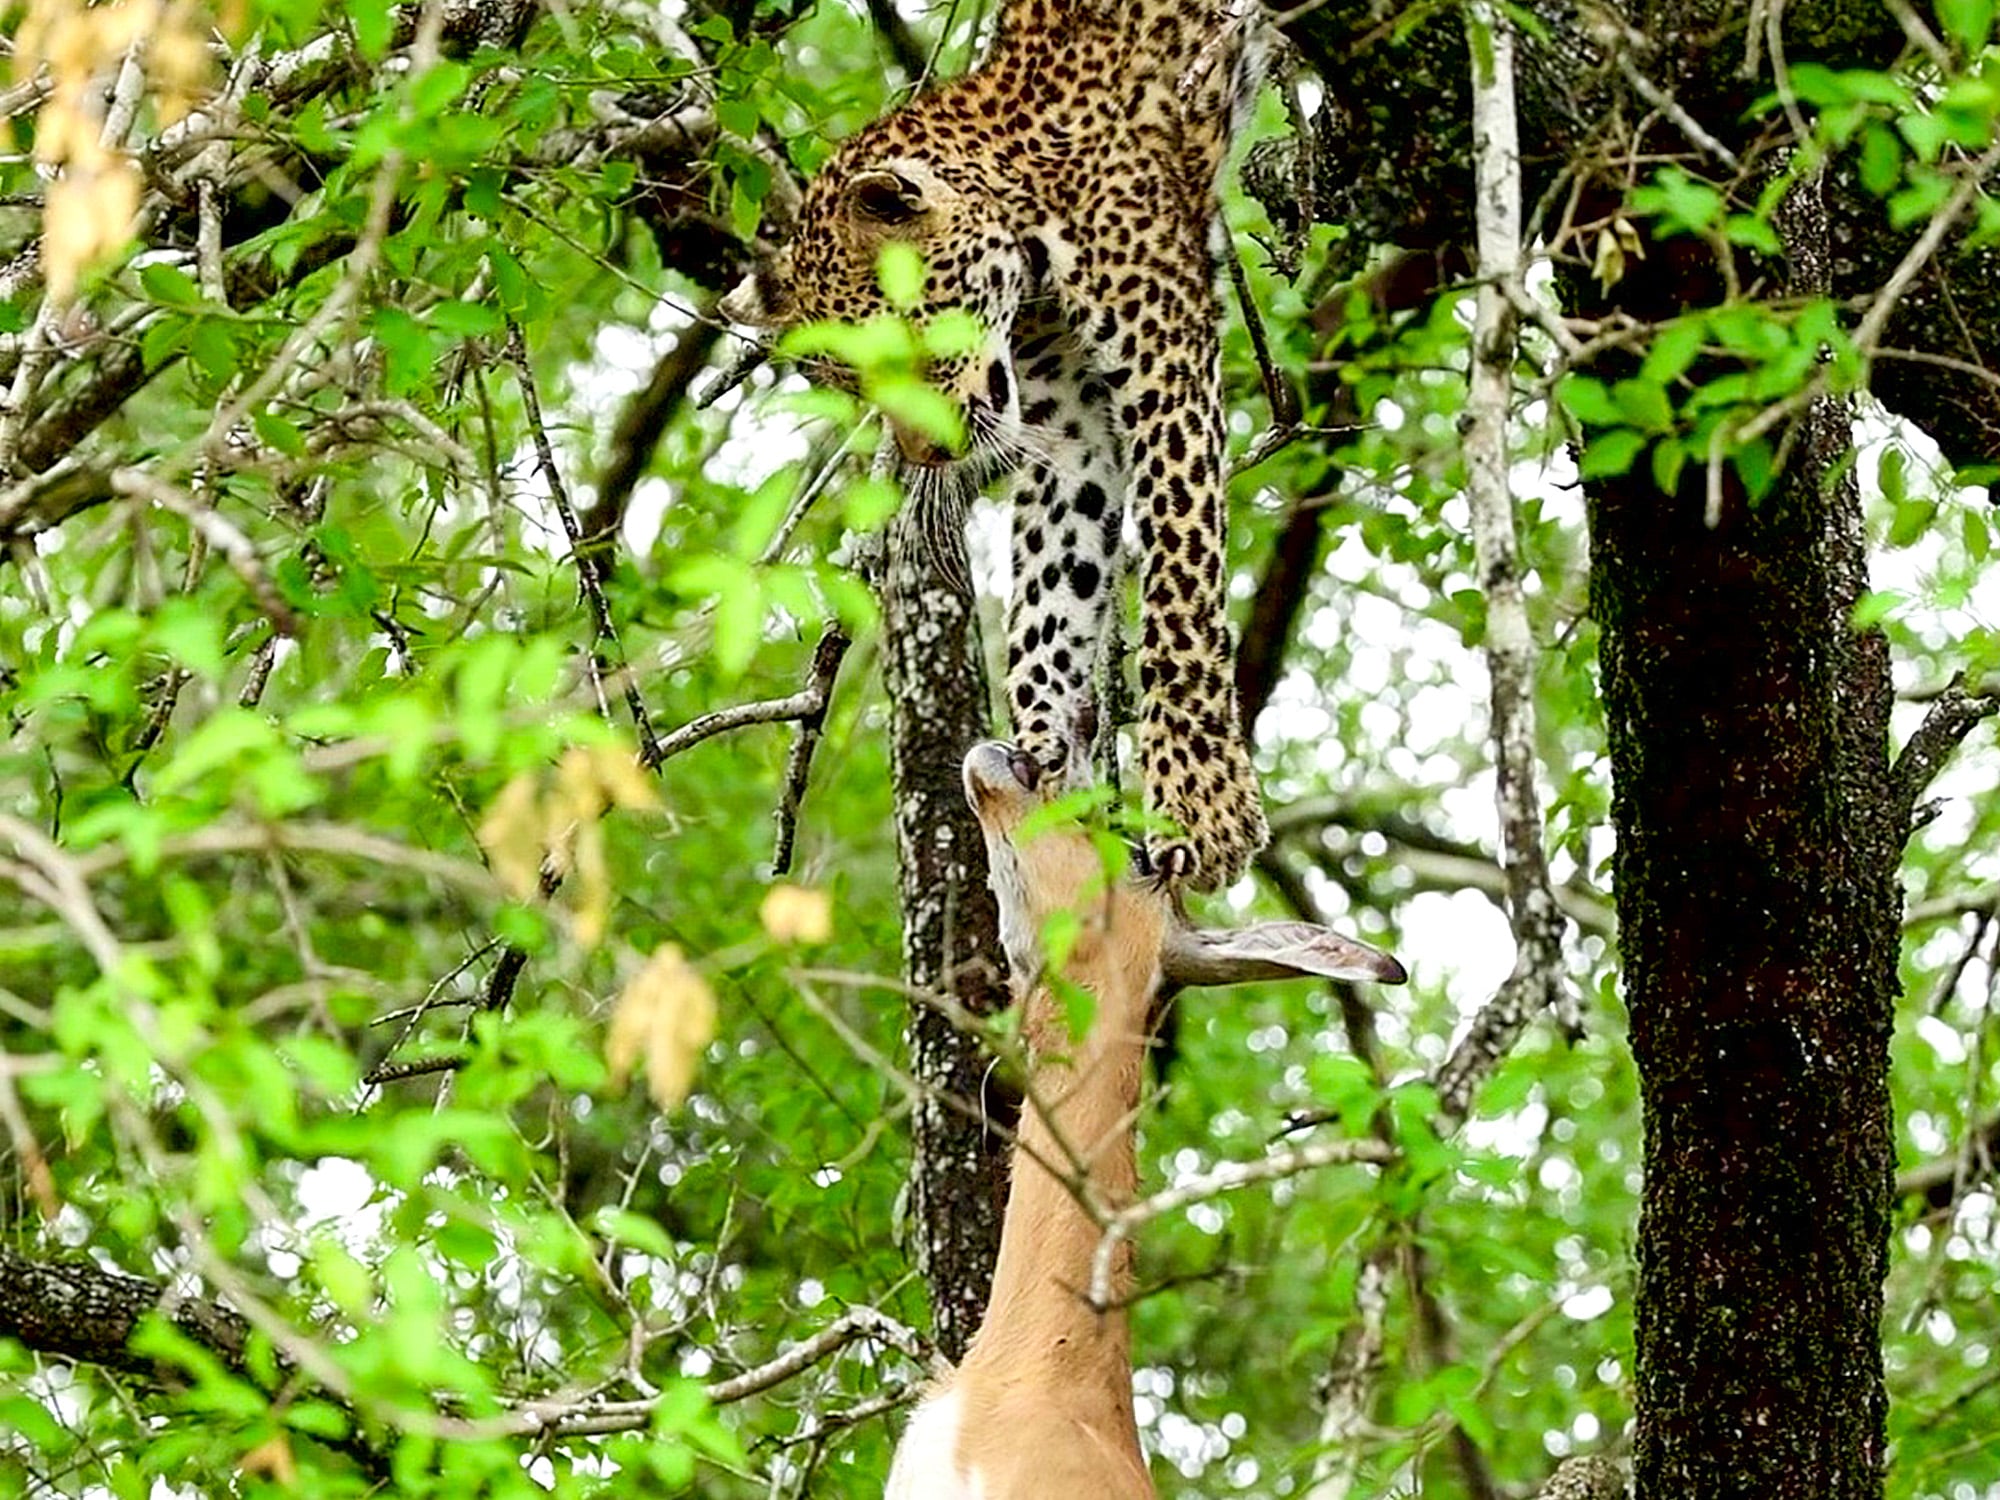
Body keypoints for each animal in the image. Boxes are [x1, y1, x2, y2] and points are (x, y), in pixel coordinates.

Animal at [723, 0, 1271, 891]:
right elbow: (1050, 587)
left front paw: (1201, 806)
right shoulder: (1071, 430)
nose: (926, 457)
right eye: (852, 387)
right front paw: (1044, 756)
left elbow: (1178, 594)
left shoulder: (1167, 358)